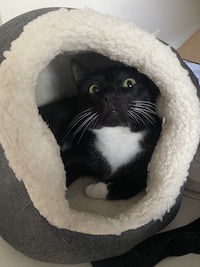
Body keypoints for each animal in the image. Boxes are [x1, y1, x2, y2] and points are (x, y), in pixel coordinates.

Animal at [39, 59, 162, 201]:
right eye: (94, 89)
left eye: (129, 82)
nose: (109, 95)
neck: (117, 133)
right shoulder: (79, 153)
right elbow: (64, 170)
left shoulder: (146, 161)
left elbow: (131, 184)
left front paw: (94, 189)